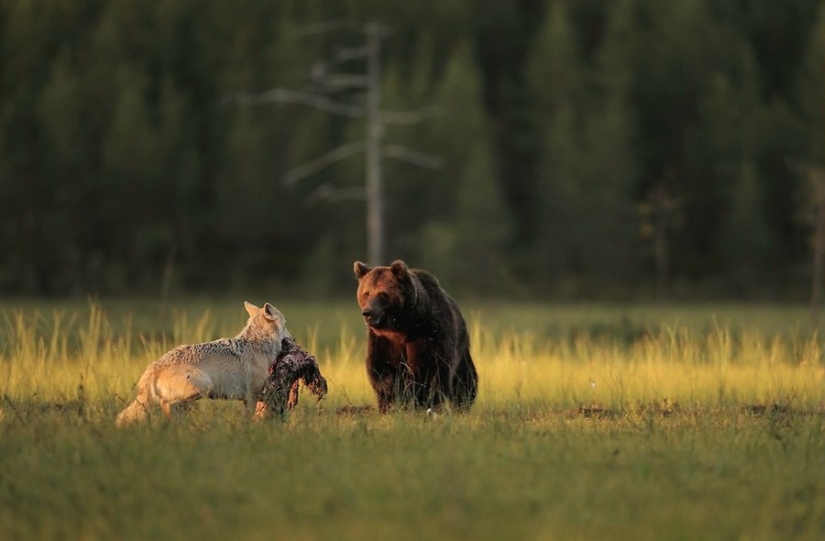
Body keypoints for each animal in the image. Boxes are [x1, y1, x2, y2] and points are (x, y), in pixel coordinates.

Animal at [115, 301, 290, 427]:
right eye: (286, 325)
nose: (293, 339)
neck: (258, 344)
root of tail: (153, 367)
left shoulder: (250, 398)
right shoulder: (251, 397)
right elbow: (248, 421)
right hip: (203, 387)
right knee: (165, 404)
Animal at [353, 259, 478, 413]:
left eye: (382, 294)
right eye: (366, 294)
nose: (368, 313)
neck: (402, 326)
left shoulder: (426, 333)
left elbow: (425, 368)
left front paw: (414, 398)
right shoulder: (383, 340)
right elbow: (380, 366)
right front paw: (391, 395)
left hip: (460, 347)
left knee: (463, 379)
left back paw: (461, 404)